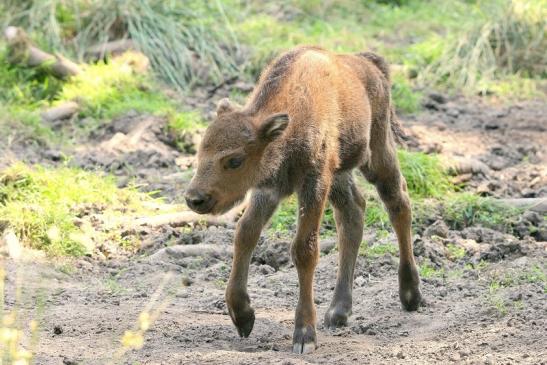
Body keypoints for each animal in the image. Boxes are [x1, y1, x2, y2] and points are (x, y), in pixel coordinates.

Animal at [186, 45, 422, 352]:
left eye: (235, 160)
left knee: (398, 203)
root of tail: (369, 65)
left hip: (377, 155)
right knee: (353, 214)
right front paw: (243, 317)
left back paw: (411, 295)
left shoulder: (314, 183)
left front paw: (304, 335)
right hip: (340, 175)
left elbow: (304, 250)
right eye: (200, 151)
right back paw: (338, 312)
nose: (195, 199)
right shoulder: (268, 189)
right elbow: (245, 234)